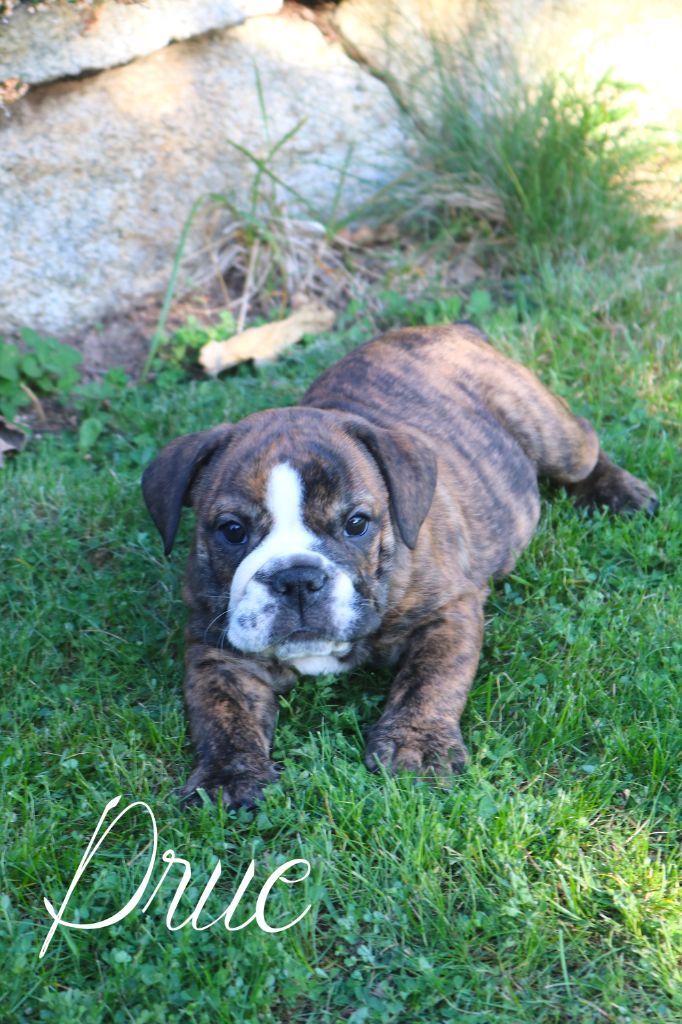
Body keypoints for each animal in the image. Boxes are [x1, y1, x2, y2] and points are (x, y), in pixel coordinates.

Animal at [142, 323, 657, 808]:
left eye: (356, 523)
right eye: (232, 531)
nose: (297, 579)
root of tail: (451, 329)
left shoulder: (448, 613)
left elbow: (430, 681)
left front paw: (417, 744)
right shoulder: (217, 653)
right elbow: (222, 715)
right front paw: (228, 776)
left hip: (549, 432)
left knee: (584, 446)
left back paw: (621, 493)